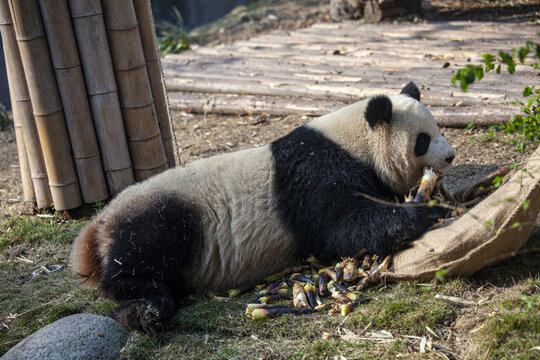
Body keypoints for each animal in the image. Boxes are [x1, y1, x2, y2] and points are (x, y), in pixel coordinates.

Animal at [69, 81, 454, 334]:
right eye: (422, 140)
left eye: (438, 128)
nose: (450, 156)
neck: (354, 141)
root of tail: (96, 227)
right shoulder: (312, 173)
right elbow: (337, 227)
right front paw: (428, 212)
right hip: (162, 214)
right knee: (140, 259)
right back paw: (147, 308)